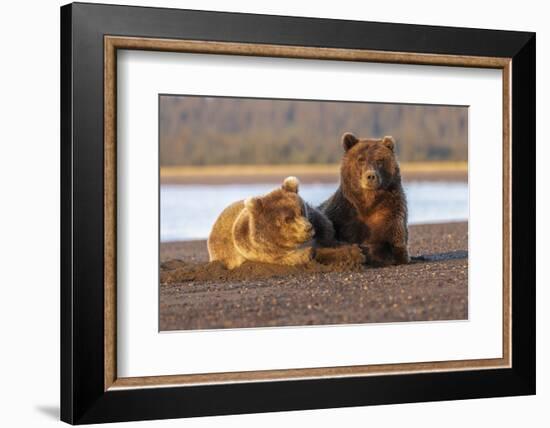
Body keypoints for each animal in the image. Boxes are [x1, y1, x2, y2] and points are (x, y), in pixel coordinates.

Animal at [320, 132, 410, 266]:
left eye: (379, 160)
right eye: (360, 160)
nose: (370, 176)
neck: (367, 202)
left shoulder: (390, 212)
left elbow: (393, 245)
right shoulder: (343, 215)